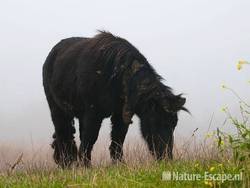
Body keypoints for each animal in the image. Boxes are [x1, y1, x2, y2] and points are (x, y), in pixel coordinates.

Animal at [42, 31, 187, 167]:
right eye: (155, 121)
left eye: (174, 123)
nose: (166, 157)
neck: (117, 75)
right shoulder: (93, 114)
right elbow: (90, 139)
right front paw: (86, 166)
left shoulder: (120, 115)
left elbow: (118, 139)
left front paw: (119, 163)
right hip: (57, 110)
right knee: (63, 134)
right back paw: (65, 163)